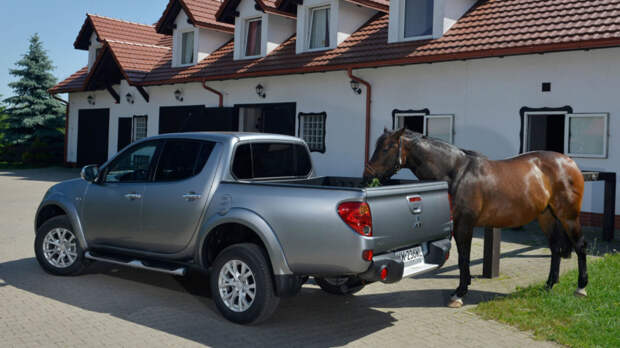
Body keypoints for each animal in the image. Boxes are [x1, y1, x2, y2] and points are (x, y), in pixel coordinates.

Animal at [364, 128, 588, 308]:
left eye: (387, 148)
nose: (367, 176)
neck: (456, 173)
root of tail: (569, 162)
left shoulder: (464, 225)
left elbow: (464, 257)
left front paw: (459, 293)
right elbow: (463, 257)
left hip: (568, 216)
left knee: (580, 246)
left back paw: (581, 288)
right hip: (546, 216)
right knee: (555, 248)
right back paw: (549, 284)